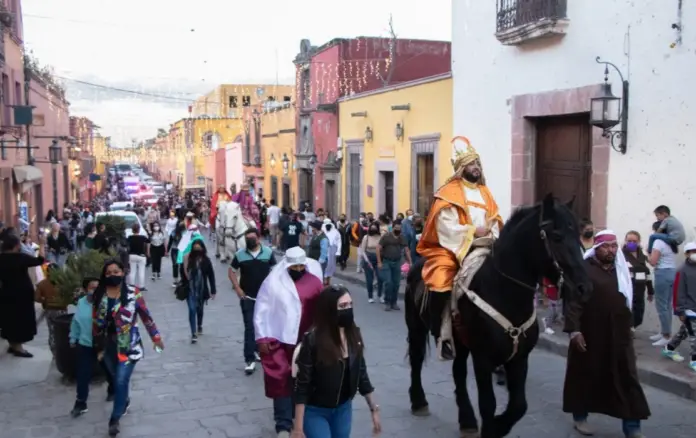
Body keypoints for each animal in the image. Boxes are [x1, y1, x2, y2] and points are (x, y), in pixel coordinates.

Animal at [404, 193, 592, 438]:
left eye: (579, 235)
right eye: (557, 236)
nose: (584, 288)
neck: (502, 291)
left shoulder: (519, 358)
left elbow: (519, 405)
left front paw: (499, 426)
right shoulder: (483, 359)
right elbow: (488, 404)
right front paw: (492, 427)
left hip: (460, 343)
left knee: (458, 373)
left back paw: (467, 421)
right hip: (416, 327)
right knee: (417, 360)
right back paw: (419, 402)